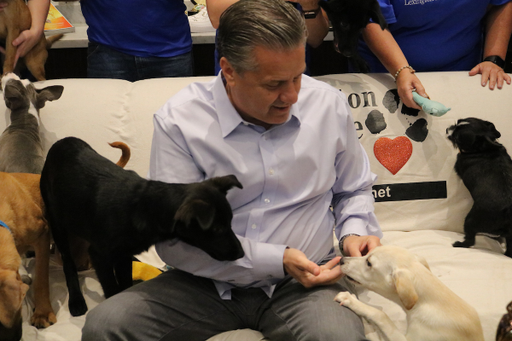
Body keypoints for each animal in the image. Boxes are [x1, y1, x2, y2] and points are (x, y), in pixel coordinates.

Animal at [40, 136, 244, 316]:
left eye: (230, 222)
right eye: (217, 229)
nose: (242, 254)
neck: (145, 207)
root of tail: (61, 142)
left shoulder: (123, 255)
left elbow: (124, 283)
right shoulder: (100, 256)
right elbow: (112, 288)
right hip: (56, 221)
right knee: (68, 261)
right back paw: (76, 300)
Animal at [446, 118, 512, 256]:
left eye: (457, 137)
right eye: (458, 121)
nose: (448, 129)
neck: (484, 149)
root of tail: (508, 211)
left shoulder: (459, 162)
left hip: (470, 220)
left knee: (470, 240)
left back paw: (459, 244)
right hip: (510, 236)